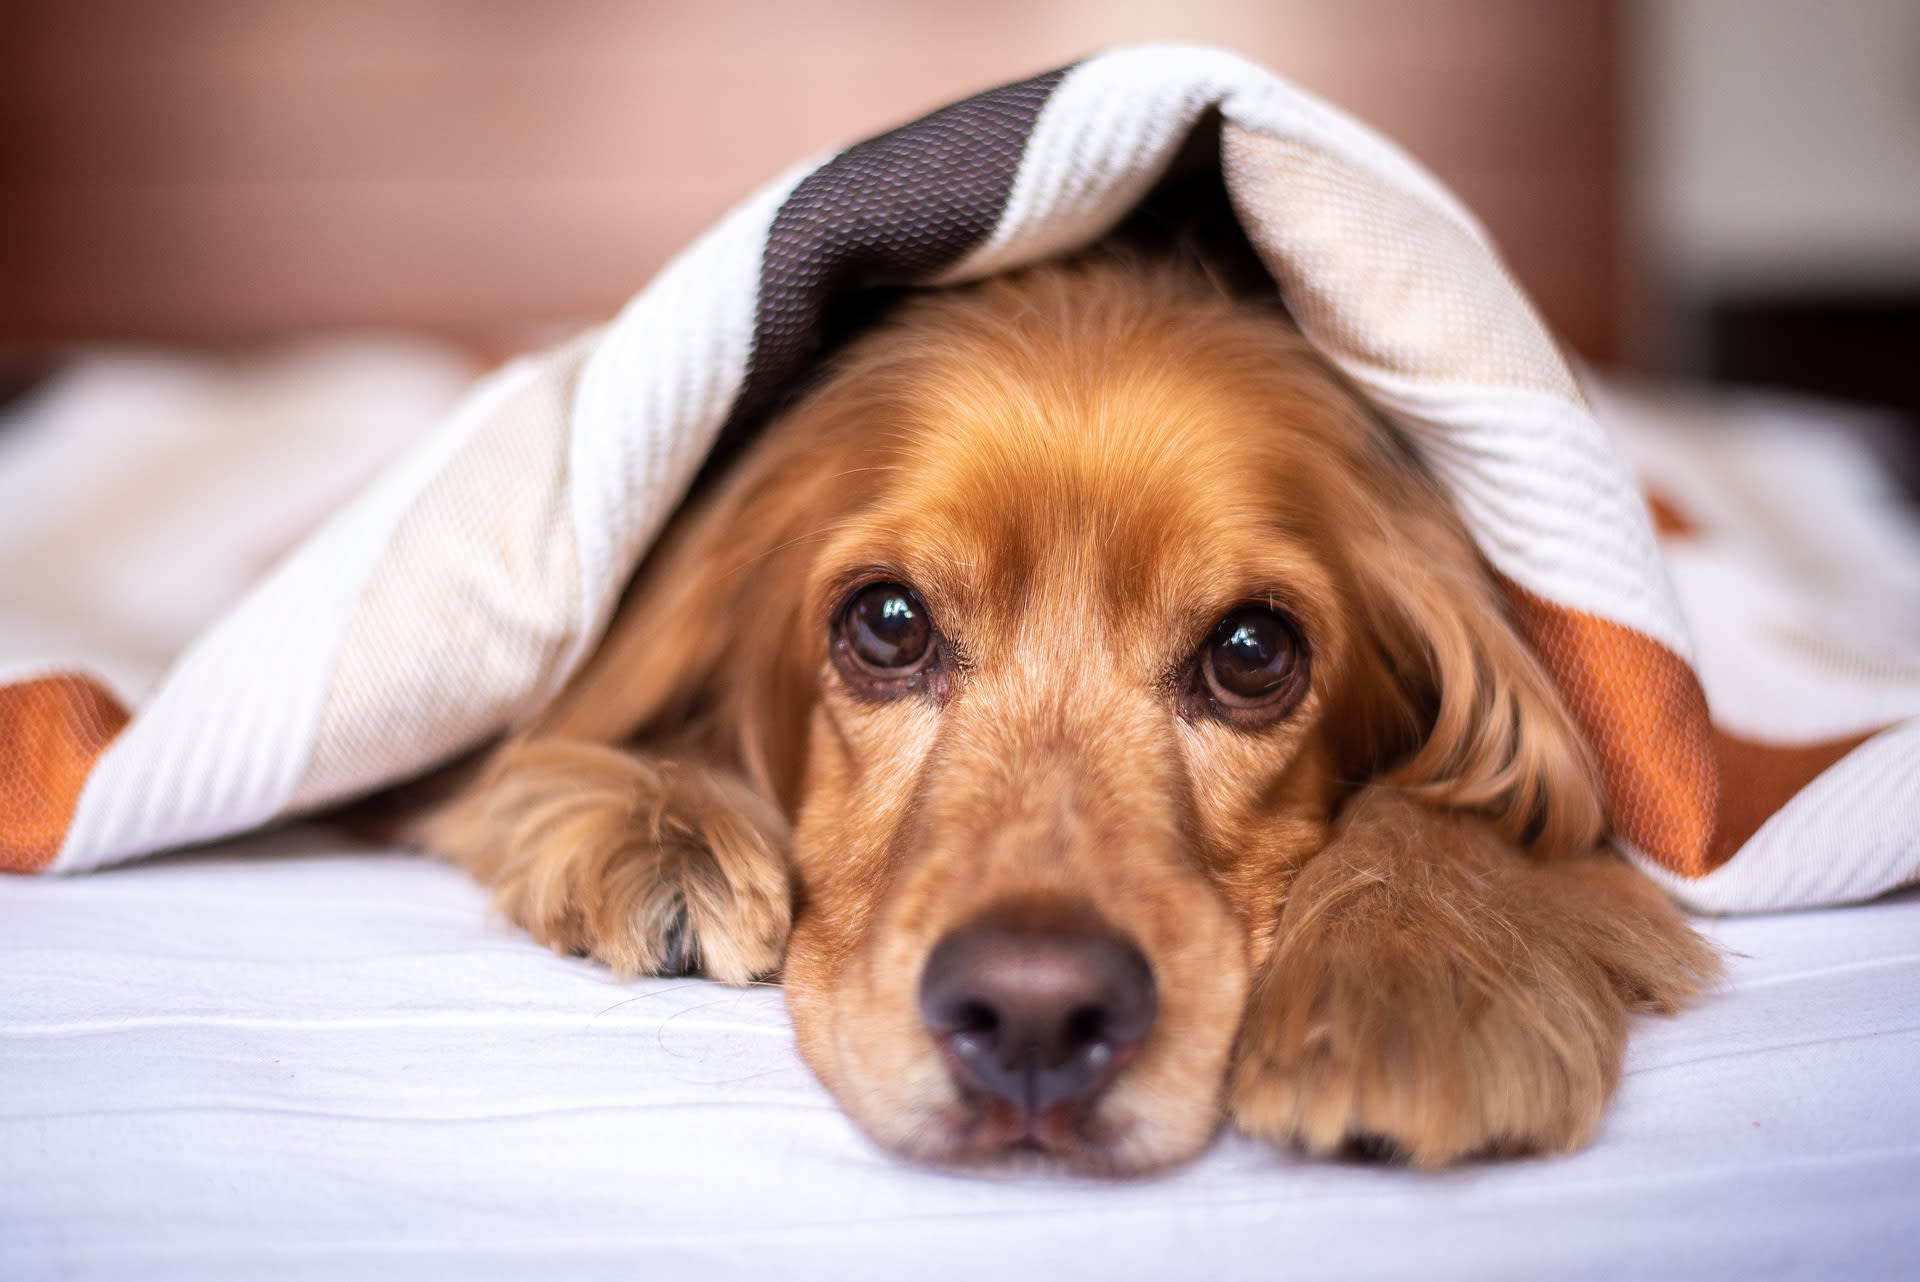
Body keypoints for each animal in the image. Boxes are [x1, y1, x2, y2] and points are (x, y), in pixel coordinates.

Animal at [412, 249, 1720, 1174]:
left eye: (1253, 653)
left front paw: (1411, 976)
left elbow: (1479, 802)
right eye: (888, 624)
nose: (1034, 1015)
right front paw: (660, 826)